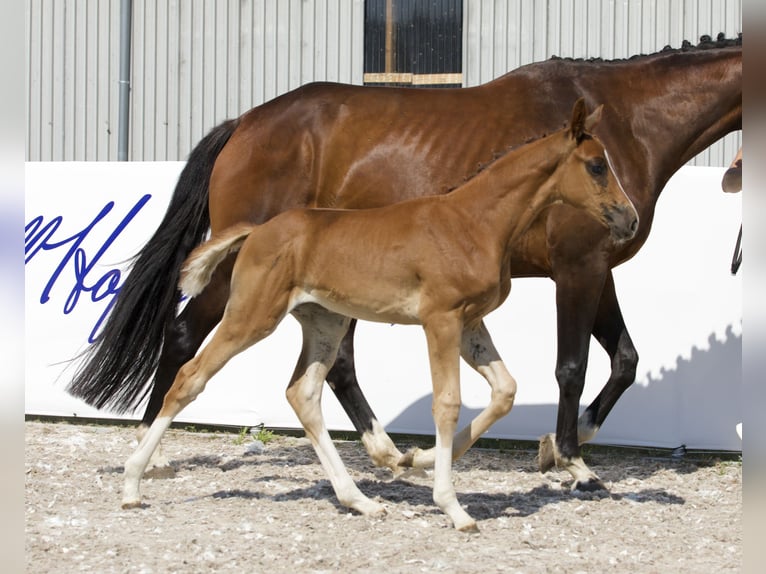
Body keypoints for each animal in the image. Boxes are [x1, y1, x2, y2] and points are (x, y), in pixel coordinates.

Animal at [67, 33, 744, 490]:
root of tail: (244, 125)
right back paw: (151, 448)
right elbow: (574, 366)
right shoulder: (579, 268)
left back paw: (391, 454)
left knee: (334, 367)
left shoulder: (598, 271)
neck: (631, 121)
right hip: (247, 276)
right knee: (188, 333)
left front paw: (559, 445)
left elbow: (625, 359)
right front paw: (573, 462)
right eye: (596, 167)